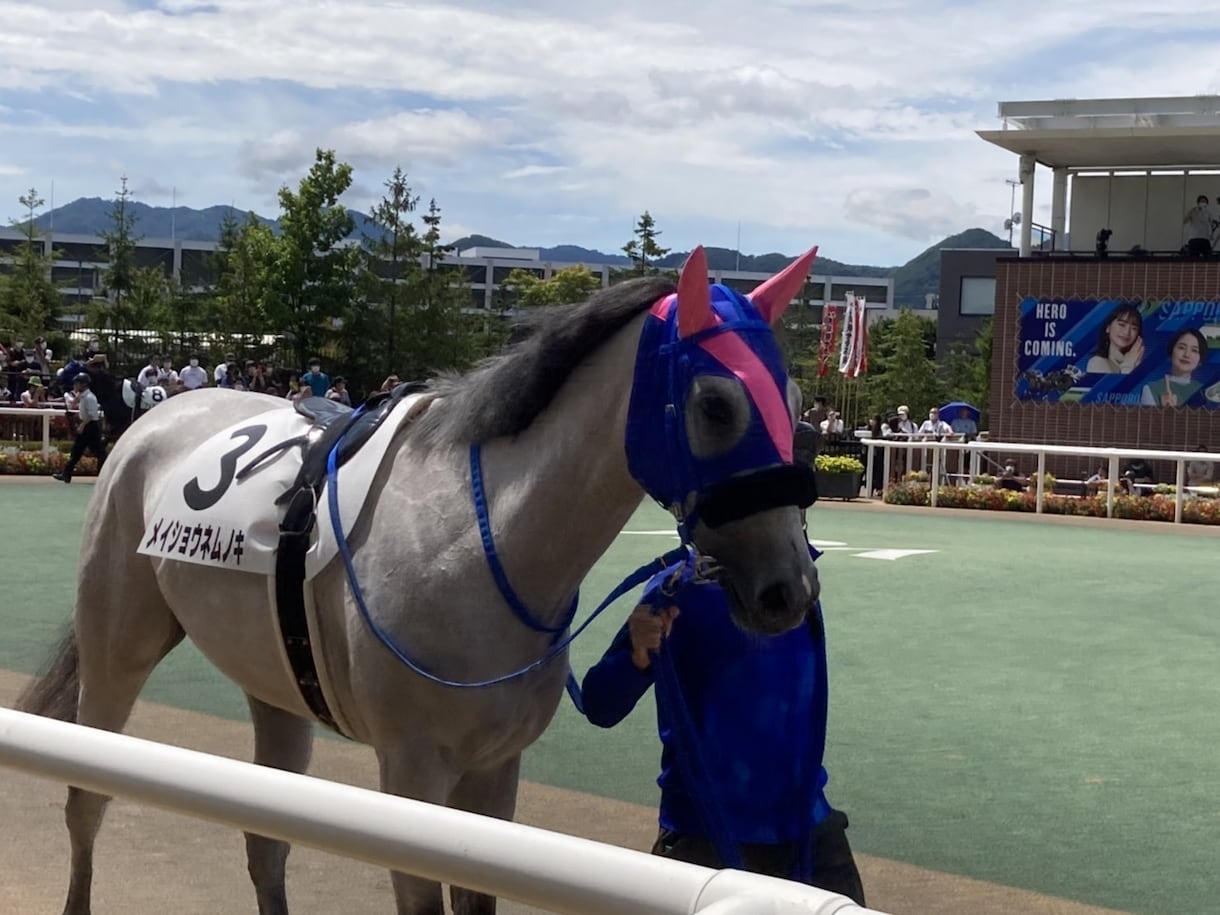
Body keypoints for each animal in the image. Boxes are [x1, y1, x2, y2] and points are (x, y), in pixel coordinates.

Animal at [16, 244, 822, 915]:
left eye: (793, 403)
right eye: (716, 404)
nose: (790, 589)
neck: (479, 545)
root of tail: (160, 416)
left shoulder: (495, 772)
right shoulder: (412, 772)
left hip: (274, 683)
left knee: (265, 841)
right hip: (117, 651)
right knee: (87, 799)